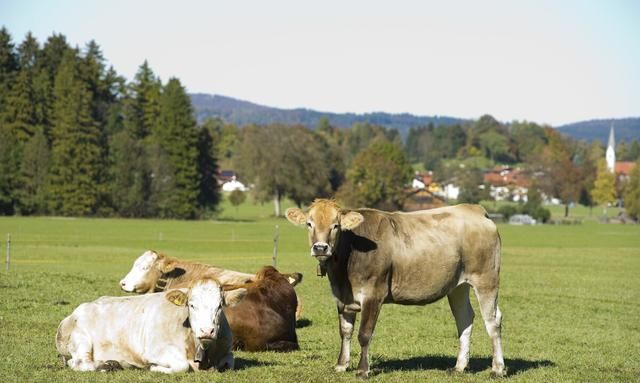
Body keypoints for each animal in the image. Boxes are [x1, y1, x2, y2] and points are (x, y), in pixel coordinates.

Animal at [286, 200, 504, 380]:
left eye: (336, 225)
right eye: (309, 224)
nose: (320, 248)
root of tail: (474, 210)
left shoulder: (373, 294)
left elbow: (364, 334)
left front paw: (362, 370)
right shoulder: (342, 297)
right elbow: (345, 331)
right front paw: (341, 365)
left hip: (486, 279)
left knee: (493, 321)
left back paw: (497, 369)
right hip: (458, 285)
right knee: (465, 318)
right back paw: (459, 367)